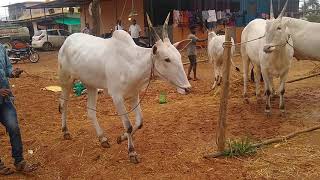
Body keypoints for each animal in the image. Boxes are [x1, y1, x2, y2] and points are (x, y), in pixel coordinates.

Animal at [57, 13, 190, 164]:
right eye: (167, 59)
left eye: (179, 56)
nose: (187, 88)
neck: (132, 63)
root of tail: (67, 40)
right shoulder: (117, 97)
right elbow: (129, 125)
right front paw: (132, 152)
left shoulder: (134, 94)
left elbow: (139, 122)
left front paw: (121, 138)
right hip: (66, 80)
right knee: (63, 105)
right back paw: (66, 131)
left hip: (91, 85)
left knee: (90, 112)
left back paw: (102, 138)